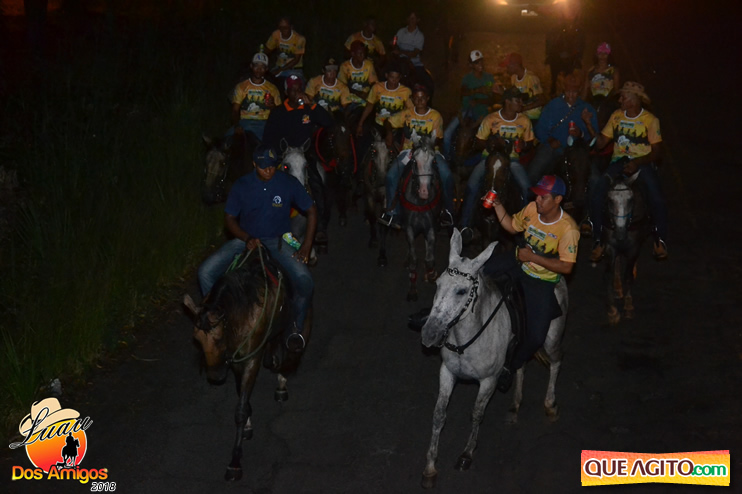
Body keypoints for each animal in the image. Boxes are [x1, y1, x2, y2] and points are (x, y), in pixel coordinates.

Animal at [183, 249, 311, 481]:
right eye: (196, 339)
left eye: (219, 338)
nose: (215, 377)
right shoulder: (236, 360)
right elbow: (241, 394)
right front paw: (248, 427)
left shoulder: (252, 358)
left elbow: (241, 408)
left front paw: (235, 461)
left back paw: (281, 380)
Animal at [378, 133, 441, 301]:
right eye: (414, 161)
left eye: (434, 161)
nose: (424, 191)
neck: (419, 202)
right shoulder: (410, 229)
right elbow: (414, 259)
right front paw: (412, 290)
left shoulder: (431, 227)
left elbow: (430, 258)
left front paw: (431, 274)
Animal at [419, 229, 568, 488]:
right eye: (437, 284)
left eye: (461, 291)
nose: (429, 334)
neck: (466, 339)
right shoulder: (447, 372)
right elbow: (439, 415)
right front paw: (430, 467)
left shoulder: (488, 381)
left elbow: (477, 414)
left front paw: (467, 454)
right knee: (521, 365)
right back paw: (515, 404)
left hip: (551, 338)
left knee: (556, 361)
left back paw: (550, 405)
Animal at [600, 172, 648, 325]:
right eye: (610, 200)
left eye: (631, 200)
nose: (620, 232)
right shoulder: (610, 246)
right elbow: (607, 274)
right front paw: (612, 311)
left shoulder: (634, 248)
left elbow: (628, 276)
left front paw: (628, 307)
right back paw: (617, 288)